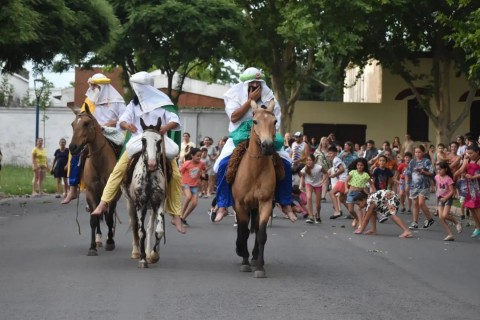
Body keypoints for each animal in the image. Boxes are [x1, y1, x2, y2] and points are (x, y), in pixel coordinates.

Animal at [232, 100, 278, 278]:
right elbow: (244, 232)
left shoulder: (265, 202)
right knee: (242, 229)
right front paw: (244, 260)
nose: (267, 146)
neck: (255, 170)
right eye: (255, 121)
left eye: (275, 121)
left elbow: (261, 234)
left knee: (257, 228)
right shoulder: (240, 203)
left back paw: (255, 256)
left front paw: (259, 267)